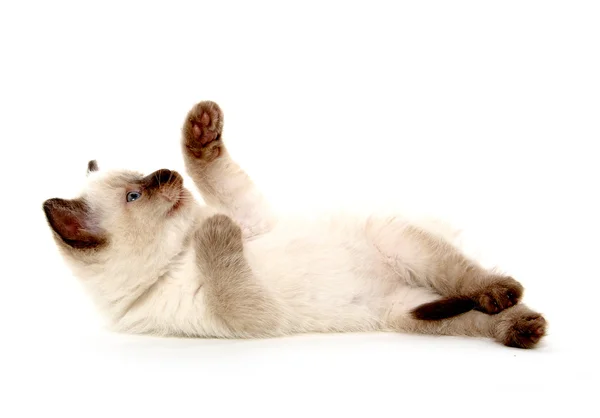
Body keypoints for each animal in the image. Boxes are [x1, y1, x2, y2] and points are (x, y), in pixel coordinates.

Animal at [43, 100, 548, 346]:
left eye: (144, 176)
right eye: (135, 196)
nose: (168, 175)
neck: (177, 253)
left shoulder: (253, 219)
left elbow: (213, 174)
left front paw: (201, 130)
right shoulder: (245, 314)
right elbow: (225, 259)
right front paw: (213, 226)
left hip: (399, 242)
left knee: (470, 278)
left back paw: (506, 300)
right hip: (408, 313)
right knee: (479, 312)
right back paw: (521, 326)